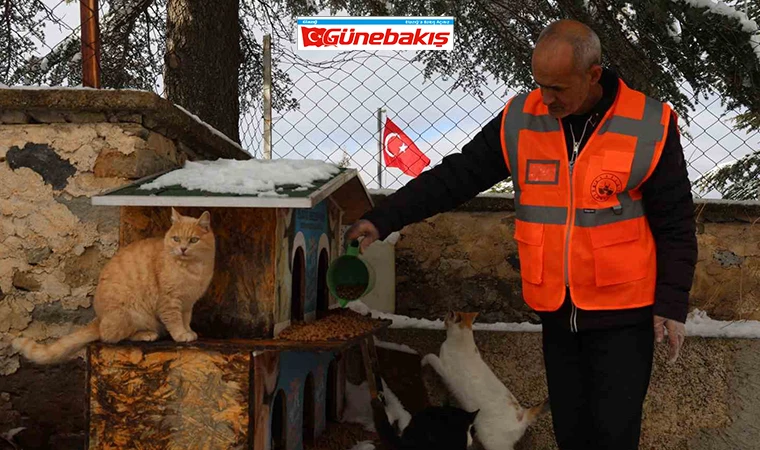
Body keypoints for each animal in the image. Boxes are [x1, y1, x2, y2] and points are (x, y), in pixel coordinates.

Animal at [11, 209, 215, 364]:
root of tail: (99, 319)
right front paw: (181, 335)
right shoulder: (169, 301)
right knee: (111, 336)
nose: (183, 249)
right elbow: (174, 321)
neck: (192, 268)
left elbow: (186, 319)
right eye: (176, 239)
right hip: (131, 314)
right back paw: (146, 334)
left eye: (193, 240)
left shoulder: (188, 303)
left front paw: (188, 331)